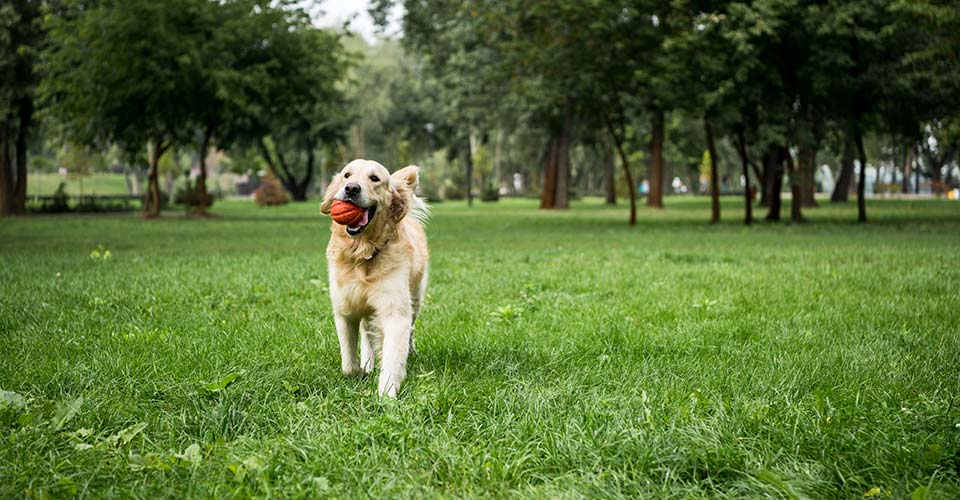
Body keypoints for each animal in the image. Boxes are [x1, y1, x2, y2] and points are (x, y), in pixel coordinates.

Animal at [320, 158, 430, 396]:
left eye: (375, 178)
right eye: (347, 175)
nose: (351, 189)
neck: (362, 254)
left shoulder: (395, 311)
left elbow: (393, 355)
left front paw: (387, 394)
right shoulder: (345, 310)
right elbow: (348, 364)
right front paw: (360, 370)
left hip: (416, 297)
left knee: (410, 328)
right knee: (366, 333)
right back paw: (368, 362)